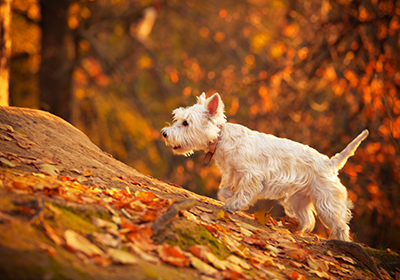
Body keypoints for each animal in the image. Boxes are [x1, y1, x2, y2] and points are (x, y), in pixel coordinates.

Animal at [162, 92, 368, 241]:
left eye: (186, 122)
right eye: (178, 119)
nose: (164, 133)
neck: (220, 139)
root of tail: (330, 162)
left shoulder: (251, 174)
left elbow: (244, 192)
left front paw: (234, 205)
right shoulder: (232, 173)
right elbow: (224, 190)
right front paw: (230, 199)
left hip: (325, 201)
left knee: (341, 225)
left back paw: (340, 242)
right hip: (298, 199)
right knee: (308, 219)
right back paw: (297, 230)